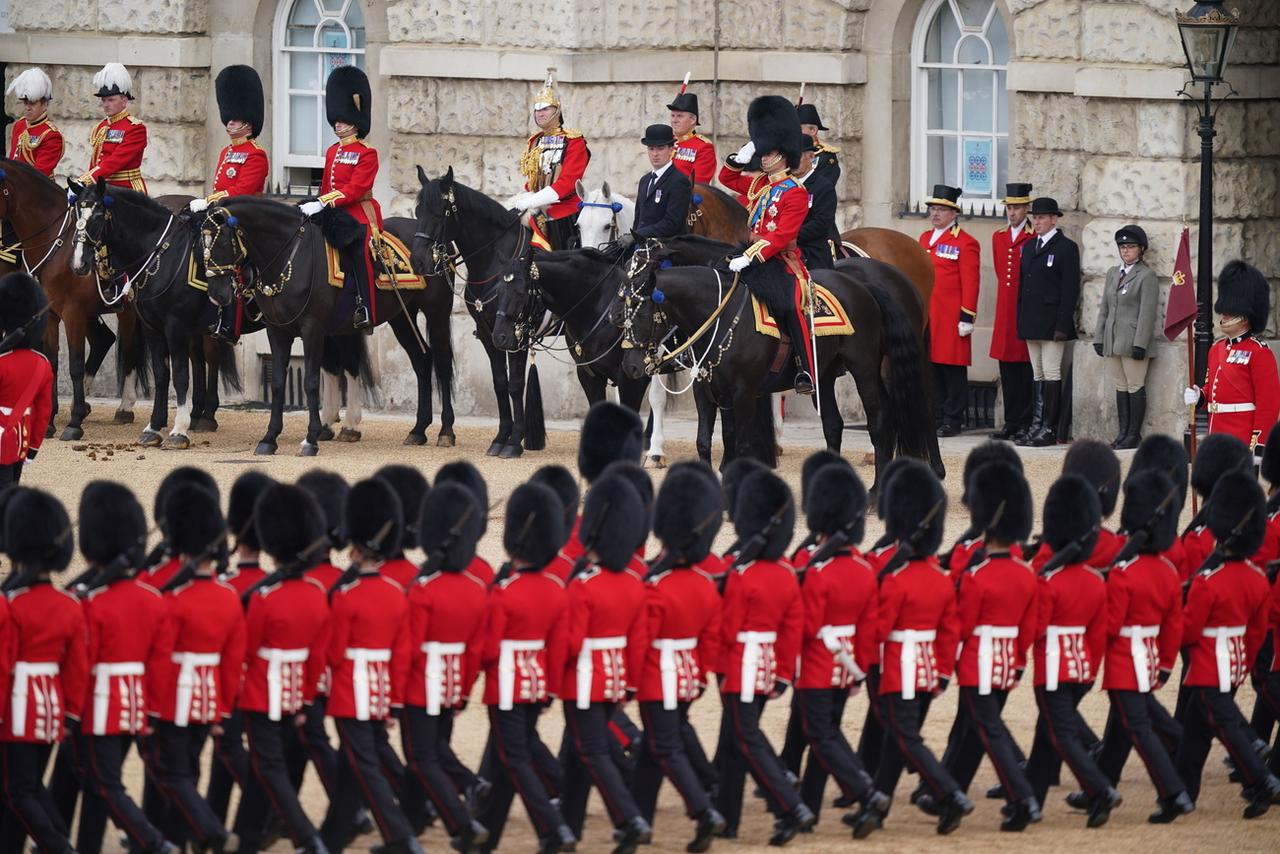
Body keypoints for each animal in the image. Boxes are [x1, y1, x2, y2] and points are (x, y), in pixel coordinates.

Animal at [197, 195, 458, 453]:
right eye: (202, 246)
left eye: (222, 243)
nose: (217, 295)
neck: (288, 256)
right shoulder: (277, 330)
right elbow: (278, 382)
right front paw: (269, 438)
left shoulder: (312, 328)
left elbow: (311, 382)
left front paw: (310, 439)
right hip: (401, 316)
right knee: (422, 360)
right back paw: (418, 430)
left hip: (436, 312)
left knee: (442, 364)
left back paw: (445, 431)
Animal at [412, 167, 542, 460]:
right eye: (417, 212)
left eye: (440, 212)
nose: (417, 261)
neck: (495, 260)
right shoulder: (488, 333)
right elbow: (500, 383)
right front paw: (501, 437)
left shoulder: (517, 334)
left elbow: (516, 384)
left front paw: (515, 441)